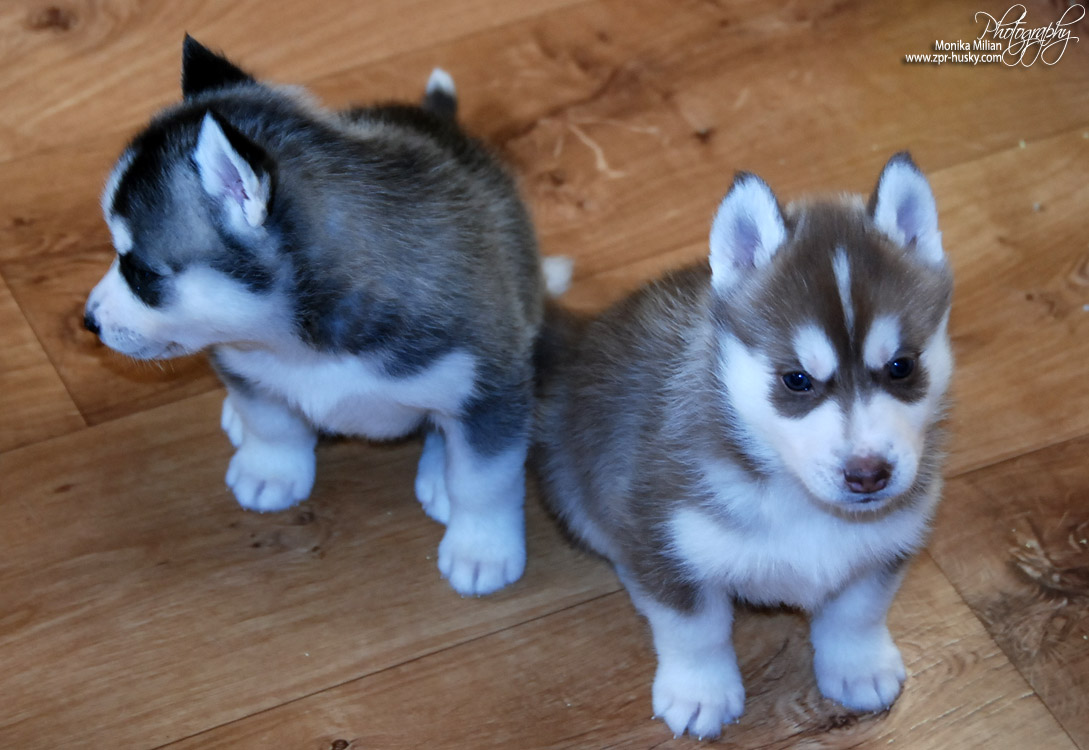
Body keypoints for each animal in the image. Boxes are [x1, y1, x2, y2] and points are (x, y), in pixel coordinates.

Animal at [84, 36, 567, 597]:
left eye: (140, 272)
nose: (88, 320)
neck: (303, 343)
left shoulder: (491, 388)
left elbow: (484, 481)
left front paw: (482, 548)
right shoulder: (242, 360)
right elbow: (269, 419)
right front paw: (270, 468)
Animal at [533, 154, 954, 738]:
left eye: (901, 367)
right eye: (796, 380)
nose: (869, 473)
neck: (801, 502)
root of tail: (586, 333)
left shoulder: (889, 541)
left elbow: (858, 611)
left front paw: (858, 665)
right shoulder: (666, 537)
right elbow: (694, 627)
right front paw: (700, 692)